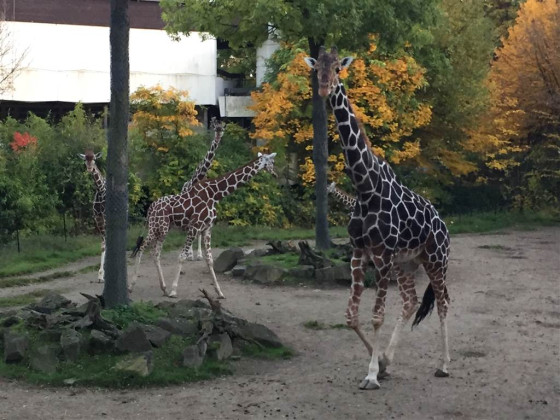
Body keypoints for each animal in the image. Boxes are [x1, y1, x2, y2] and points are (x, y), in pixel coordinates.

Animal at [132, 153, 280, 298]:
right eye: (272, 162)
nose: (275, 174)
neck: (215, 194)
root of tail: (150, 208)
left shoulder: (207, 228)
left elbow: (209, 259)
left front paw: (219, 292)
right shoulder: (195, 226)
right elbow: (182, 256)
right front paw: (174, 291)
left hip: (163, 229)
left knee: (155, 253)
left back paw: (163, 288)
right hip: (156, 228)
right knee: (141, 248)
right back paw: (132, 285)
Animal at [179, 117, 223, 260]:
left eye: (223, 127)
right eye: (214, 126)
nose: (218, 134)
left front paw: (199, 254)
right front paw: (190, 254)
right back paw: (189, 253)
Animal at [306, 46, 450, 390]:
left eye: (338, 69)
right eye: (316, 68)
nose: (324, 87)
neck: (365, 187)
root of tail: (443, 224)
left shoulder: (382, 255)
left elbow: (376, 316)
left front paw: (372, 374)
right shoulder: (359, 253)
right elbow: (351, 316)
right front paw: (381, 364)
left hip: (436, 260)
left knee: (443, 302)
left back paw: (444, 365)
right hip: (407, 263)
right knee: (411, 301)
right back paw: (392, 358)